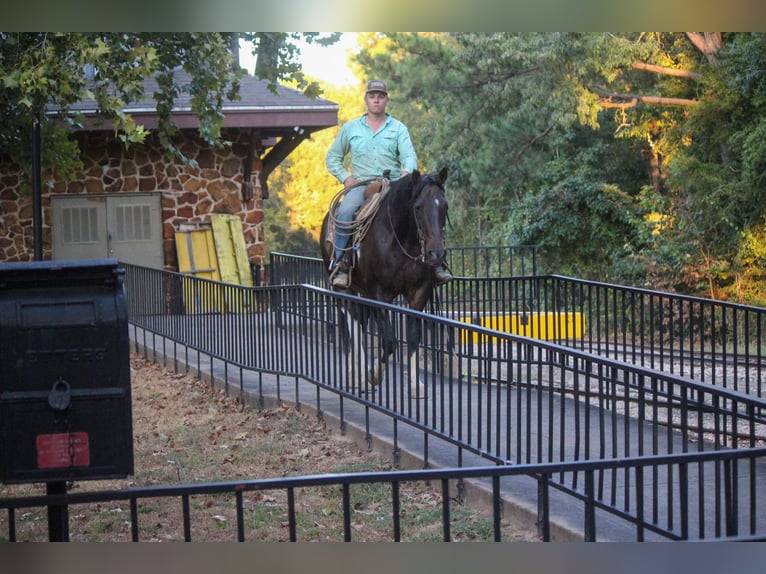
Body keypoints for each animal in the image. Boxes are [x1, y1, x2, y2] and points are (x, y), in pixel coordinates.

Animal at [320, 169, 450, 398]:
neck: (401, 240)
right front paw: (373, 375)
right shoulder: (378, 293)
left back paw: (355, 375)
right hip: (344, 289)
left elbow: (414, 336)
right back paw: (359, 377)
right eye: (418, 207)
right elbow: (389, 340)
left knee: (360, 324)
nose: (436, 253)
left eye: (445, 206)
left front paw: (415, 386)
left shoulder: (419, 292)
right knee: (353, 327)